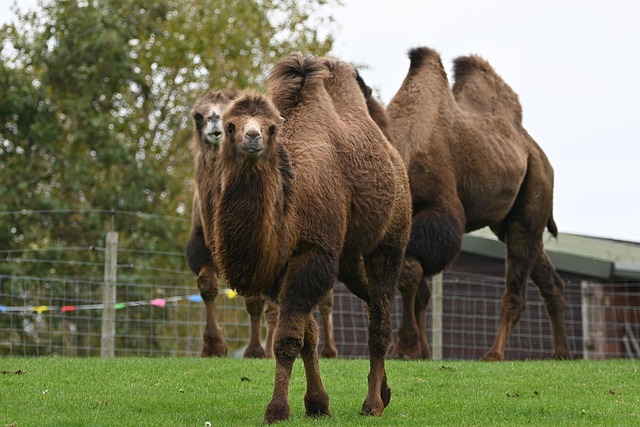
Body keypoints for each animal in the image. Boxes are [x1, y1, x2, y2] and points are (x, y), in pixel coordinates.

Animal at [185, 89, 337, 358]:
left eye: (227, 111)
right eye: (197, 116)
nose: (214, 119)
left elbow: (257, 300)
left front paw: (255, 350)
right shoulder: (203, 246)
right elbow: (207, 285)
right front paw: (213, 347)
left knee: (322, 298)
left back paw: (327, 350)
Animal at [212, 54, 411, 423]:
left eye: (271, 128)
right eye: (230, 125)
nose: (252, 137)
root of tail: (395, 158)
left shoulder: (314, 253)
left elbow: (288, 339)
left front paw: (277, 410)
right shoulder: (281, 269)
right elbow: (306, 337)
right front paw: (317, 403)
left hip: (390, 240)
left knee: (379, 317)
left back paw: (372, 404)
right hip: (348, 258)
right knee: (372, 300)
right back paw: (385, 392)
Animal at [381, 46, 571, 361]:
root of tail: (537, 152)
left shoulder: (440, 206)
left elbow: (409, 273)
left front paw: (407, 347)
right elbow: (419, 288)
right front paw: (419, 350)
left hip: (535, 188)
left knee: (517, 281)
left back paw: (494, 354)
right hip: (512, 214)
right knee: (548, 278)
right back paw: (562, 353)